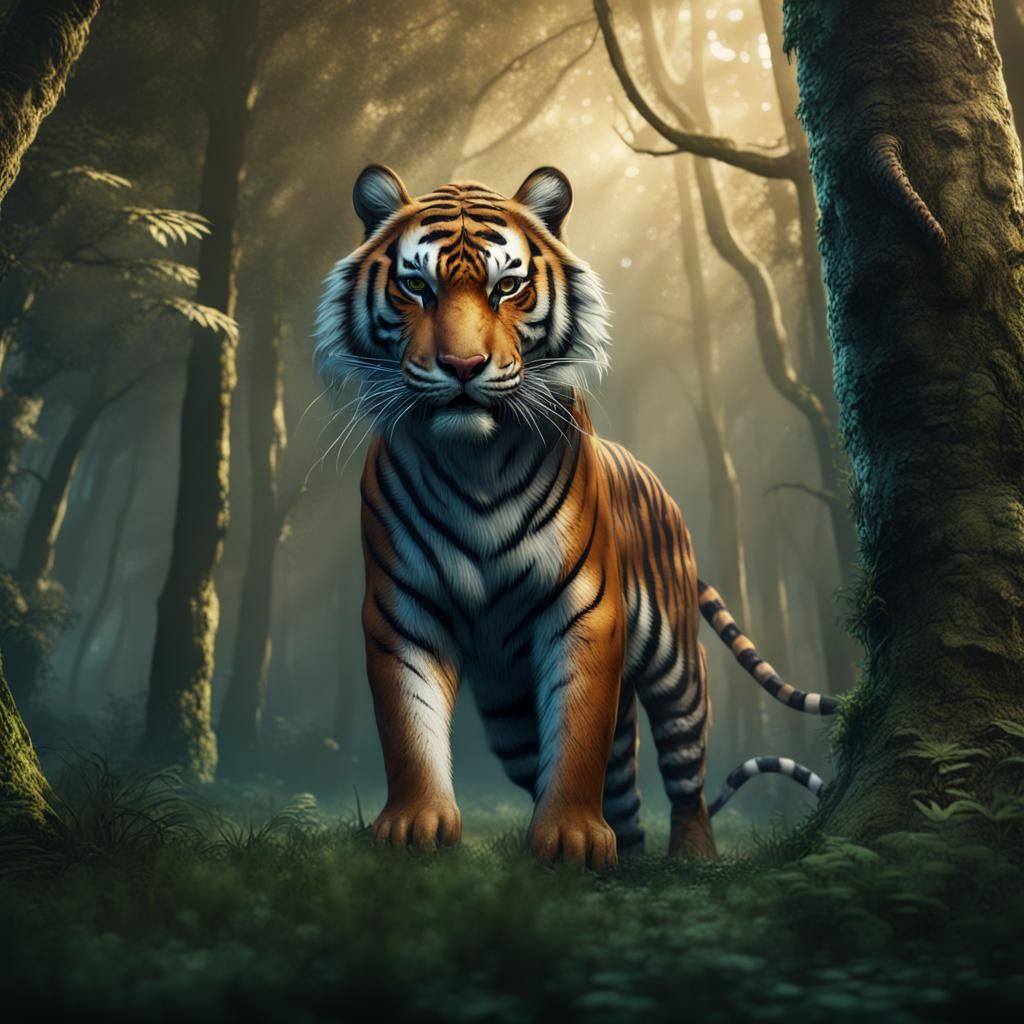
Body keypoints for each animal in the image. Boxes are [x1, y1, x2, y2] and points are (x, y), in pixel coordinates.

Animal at [314, 164, 836, 868]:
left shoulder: (585, 608)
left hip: (678, 672)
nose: (462, 367)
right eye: (415, 286)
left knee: (683, 774)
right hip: (511, 714)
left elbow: (579, 733)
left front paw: (569, 837)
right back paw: (629, 854)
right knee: (612, 783)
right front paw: (414, 827)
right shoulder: (403, 610)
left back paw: (690, 855)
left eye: (507, 287)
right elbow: (407, 724)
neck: (473, 460)